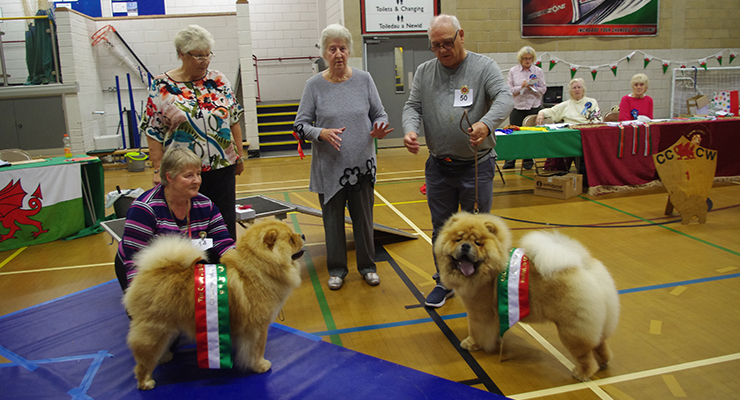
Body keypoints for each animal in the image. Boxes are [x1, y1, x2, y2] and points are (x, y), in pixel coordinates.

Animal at [436, 212, 620, 382]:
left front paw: (472, 343)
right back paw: (604, 362)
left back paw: (582, 373)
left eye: (478, 243)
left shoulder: (479, 311)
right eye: (458, 240)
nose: (465, 246)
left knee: (584, 354)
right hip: (597, 322)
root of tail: (583, 266)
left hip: (571, 328)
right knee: (600, 343)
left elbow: (476, 329)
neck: (490, 269)